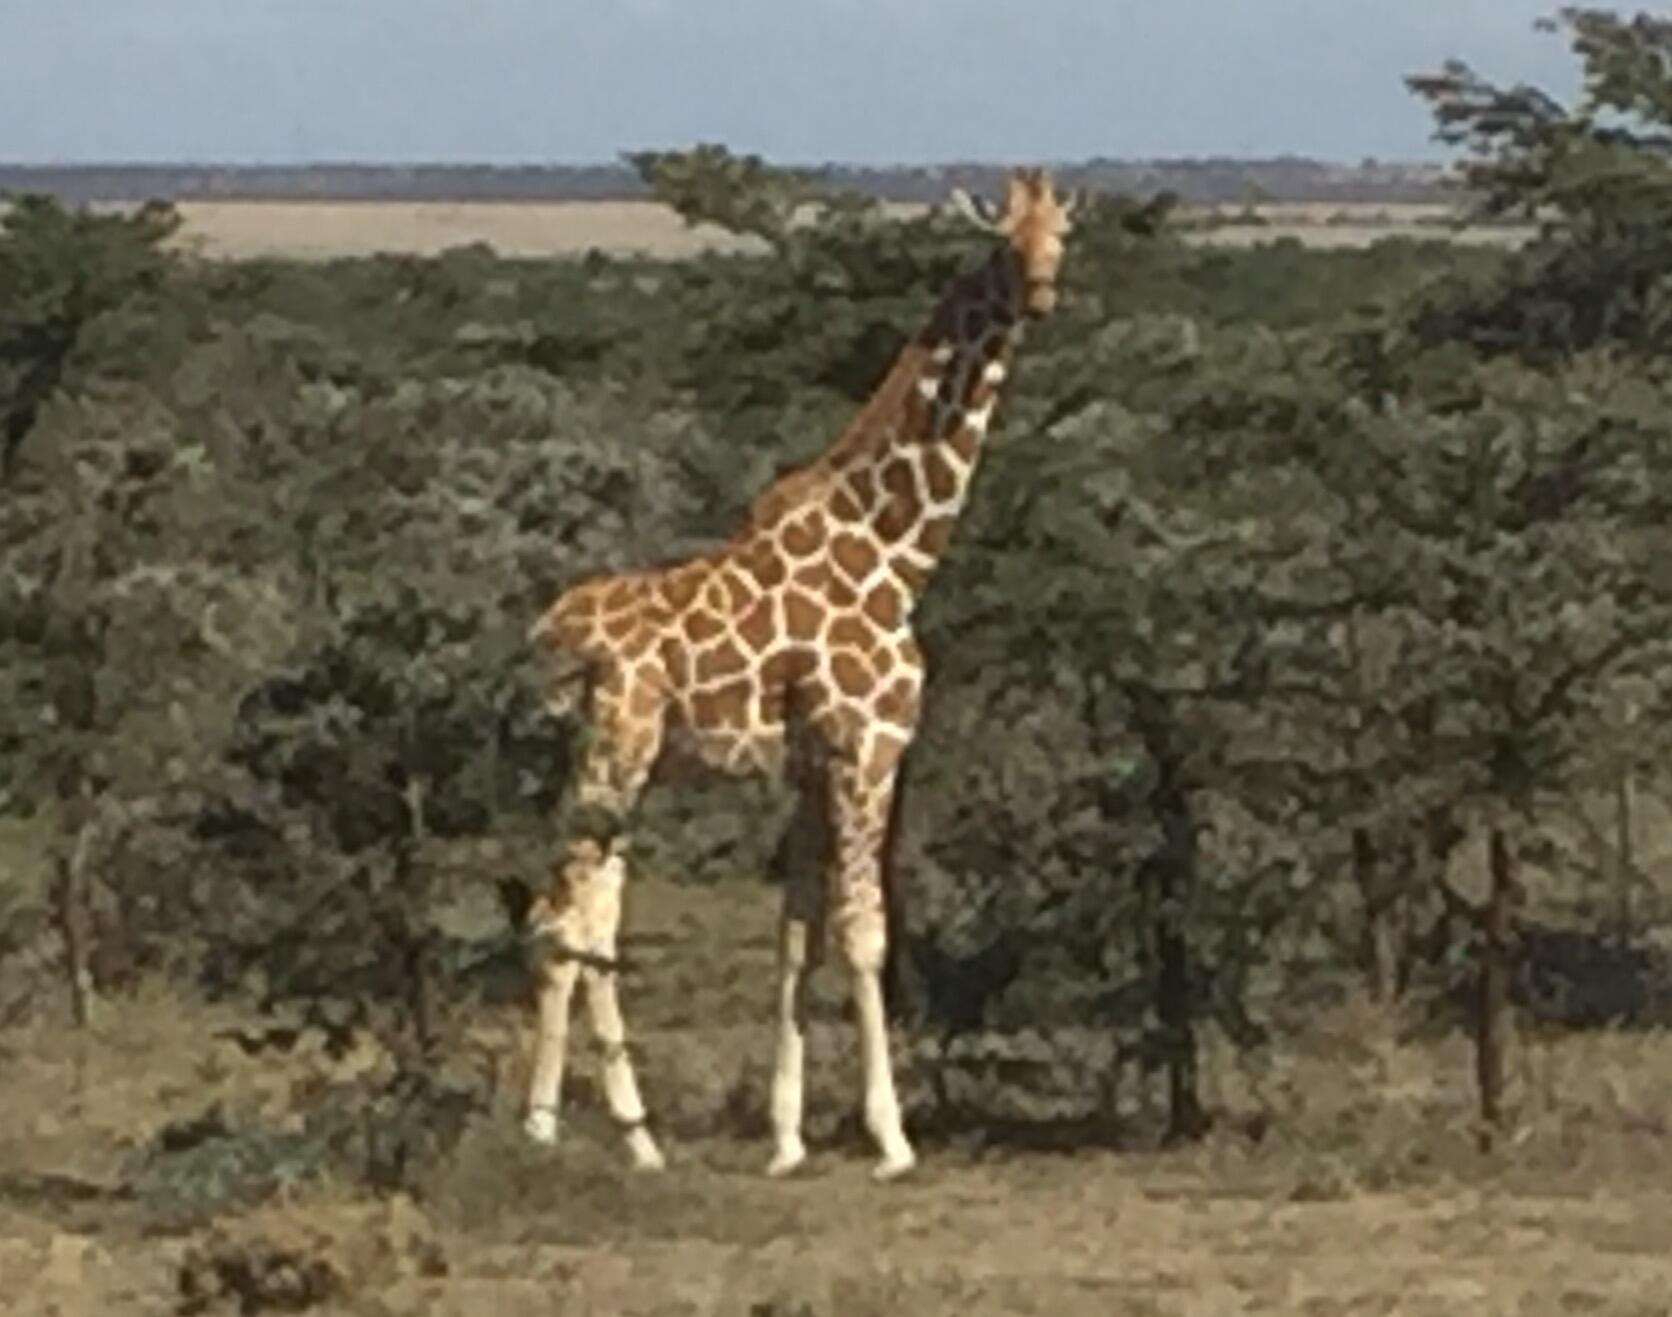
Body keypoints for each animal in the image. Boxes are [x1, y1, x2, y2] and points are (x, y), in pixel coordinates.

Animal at [522, 167, 1079, 1181]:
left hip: (596, 759)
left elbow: (796, 937)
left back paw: (618, 1133)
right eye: (1003, 237)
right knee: (573, 918)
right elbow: (864, 934)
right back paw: (575, 1128)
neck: (896, 552)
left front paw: (786, 1138)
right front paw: (892, 1140)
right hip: (619, 747)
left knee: (580, 915)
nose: (1043, 290)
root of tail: (548, 633)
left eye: (1063, 232)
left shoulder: (814, 764)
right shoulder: (869, 746)